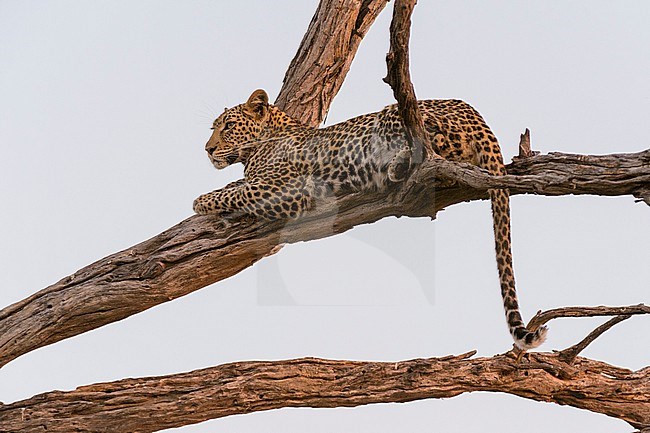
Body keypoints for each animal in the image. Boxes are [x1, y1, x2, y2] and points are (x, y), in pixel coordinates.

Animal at [194, 89, 548, 350]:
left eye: (227, 126)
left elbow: (231, 193)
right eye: (214, 127)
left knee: (434, 148)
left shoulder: (287, 189)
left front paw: (201, 202)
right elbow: (234, 186)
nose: (207, 150)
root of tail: (474, 113)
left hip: (393, 114)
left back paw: (393, 167)